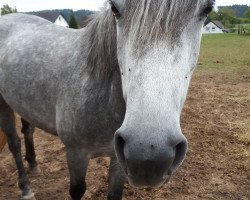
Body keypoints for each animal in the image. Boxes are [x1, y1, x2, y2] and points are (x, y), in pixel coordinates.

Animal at [0, 0, 215, 199]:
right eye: (114, 8)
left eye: (207, 9)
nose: (149, 156)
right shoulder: (76, 154)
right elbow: (77, 191)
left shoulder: (118, 160)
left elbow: (114, 193)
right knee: (14, 143)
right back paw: (26, 188)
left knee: (28, 131)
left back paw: (34, 165)